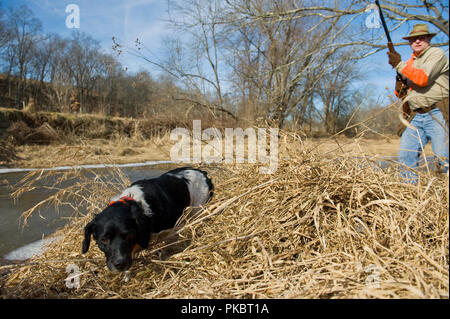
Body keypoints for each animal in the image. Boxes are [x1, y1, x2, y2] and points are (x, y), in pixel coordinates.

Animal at [81, 168, 214, 272]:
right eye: (104, 239)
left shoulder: (171, 230)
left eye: (128, 235)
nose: (120, 264)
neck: (134, 203)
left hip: (198, 210)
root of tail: (202, 173)